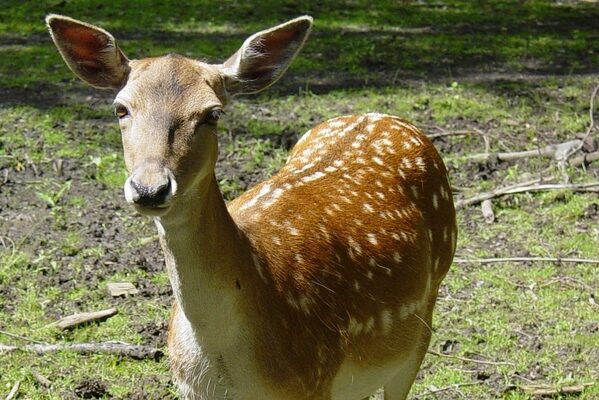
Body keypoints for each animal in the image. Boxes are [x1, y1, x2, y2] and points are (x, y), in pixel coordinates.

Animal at [47, 13, 458, 400]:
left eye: (212, 114)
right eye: (121, 108)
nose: (150, 188)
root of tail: (385, 116)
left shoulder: (313, 381)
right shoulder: (189, 387)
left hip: (425, 313)